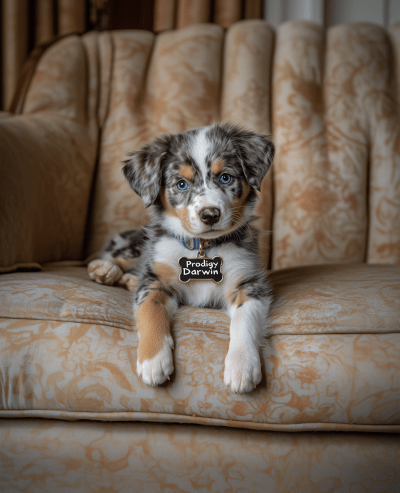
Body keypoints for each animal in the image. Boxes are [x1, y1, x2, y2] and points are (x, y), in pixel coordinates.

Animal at [88, 123, 274, 392]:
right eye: (181, 184)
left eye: (225, 177)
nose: (210, 214)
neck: (203, 248)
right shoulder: (155, 280)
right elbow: (149, 308)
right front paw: (153, 360)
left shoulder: (250, 283)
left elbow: (244, 319)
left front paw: (242, 365)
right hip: (145, 246)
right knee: (126, 258)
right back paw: (105, 268)